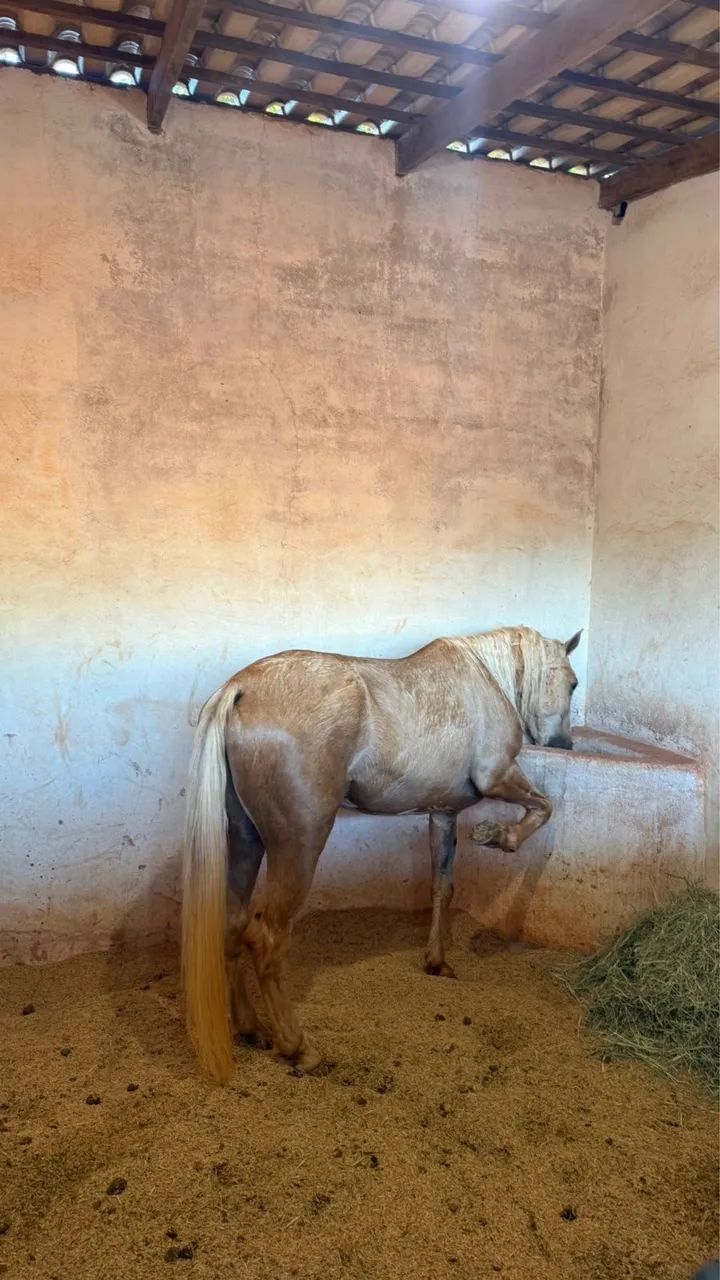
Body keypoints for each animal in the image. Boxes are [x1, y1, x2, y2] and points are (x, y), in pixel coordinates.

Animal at [182, 624, 581, 1082]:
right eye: (573, 682)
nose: (565, 743)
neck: (485, 677)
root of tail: (241, 687)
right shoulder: (497, 777)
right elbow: (544, 806)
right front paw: (500, 836)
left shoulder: (443, 813)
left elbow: (443, 887)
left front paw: (437, 962)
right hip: (298, 846)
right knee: (265, 940)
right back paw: (297, 1048)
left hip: (246, 840)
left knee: (231, 924)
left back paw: (251, 1029)